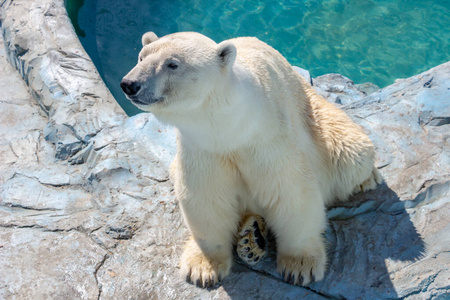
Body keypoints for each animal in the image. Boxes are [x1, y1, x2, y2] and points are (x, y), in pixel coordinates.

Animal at [121, 31, 382, 288]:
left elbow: (291, 192)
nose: (130, 84)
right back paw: (252, 235)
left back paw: (368, 178)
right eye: (141, 57)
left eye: (172, 64)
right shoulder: (202, 148)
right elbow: (206, 199)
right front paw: (203, 268)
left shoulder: (267, 137)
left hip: (319, 121)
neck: (230, 125)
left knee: (351, 152)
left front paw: (300, 266)